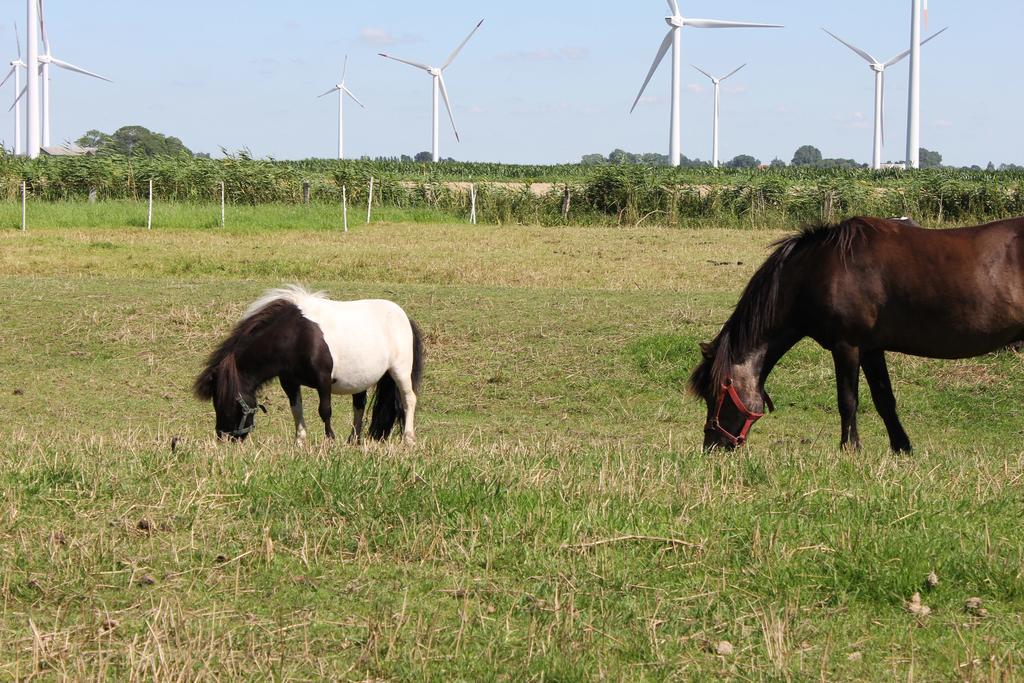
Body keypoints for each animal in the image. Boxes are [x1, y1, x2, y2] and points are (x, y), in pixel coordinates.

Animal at [193, 286, 421, 446]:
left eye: (230, 401)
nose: (225, 438)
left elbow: (325, 411)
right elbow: (296, 409)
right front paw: (300, 442)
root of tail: (405, 317)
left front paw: (329, 441)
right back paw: (354, 440)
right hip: (361, 379)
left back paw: (408, 439)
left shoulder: (324, 379)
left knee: (408, 399)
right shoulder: (290, 382)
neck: (296, 335)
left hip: (400, 371)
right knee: (359, 406)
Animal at [688, 216, 1024, 450]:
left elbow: (848, 400)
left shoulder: (846, 345)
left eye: (715, 393)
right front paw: (901, 448)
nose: (713, 446)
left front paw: (850, 448)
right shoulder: (871, 348)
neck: (817, 270)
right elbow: (884, 398)